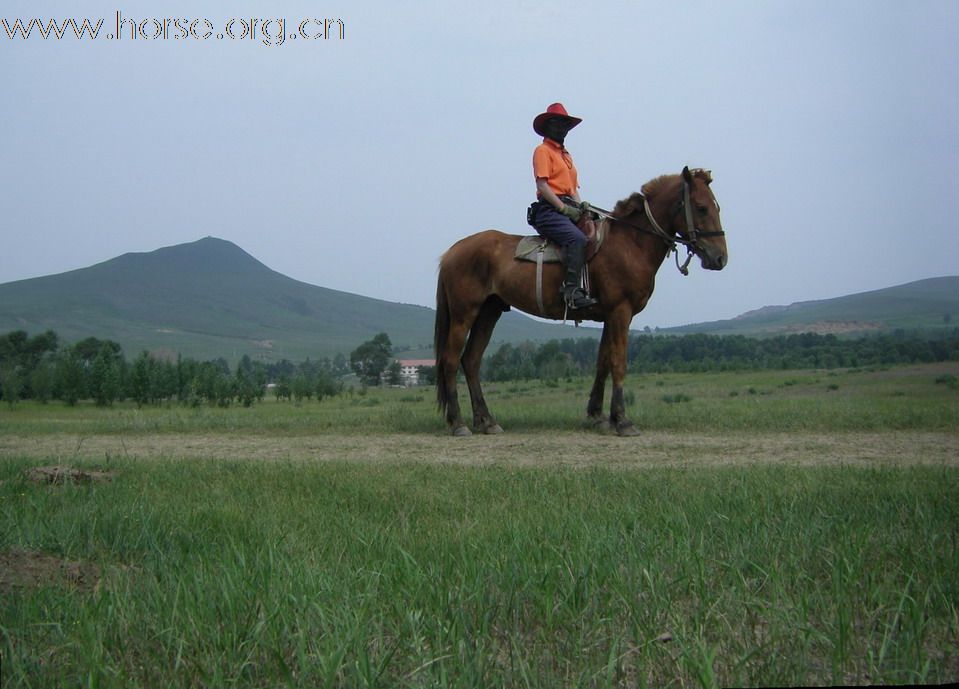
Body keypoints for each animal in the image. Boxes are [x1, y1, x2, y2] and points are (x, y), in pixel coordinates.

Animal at [436, 167, 728, 436]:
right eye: (701, 207)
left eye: (715, 206)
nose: (720, 258)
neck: (630, 243)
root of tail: (451, 252)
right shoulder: (621, 312)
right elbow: (618, 363)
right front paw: (623, 421)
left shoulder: (611, 315)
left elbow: (603, 363)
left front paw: (599, 416)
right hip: (464, 314)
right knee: (451, 360)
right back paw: (459, 423)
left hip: (489, 312)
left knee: (471, 361)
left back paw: (486, 421)